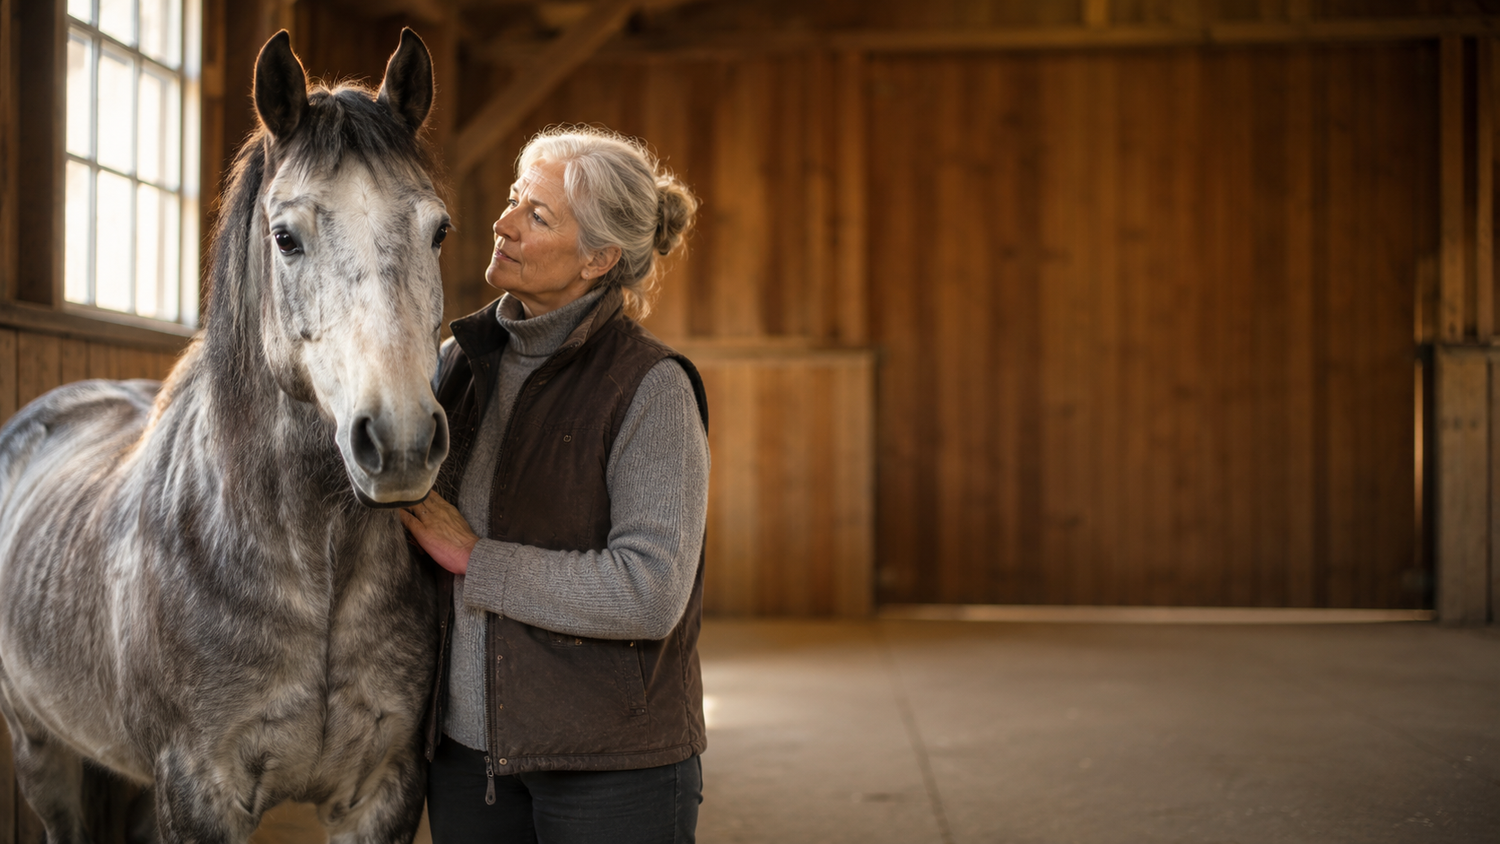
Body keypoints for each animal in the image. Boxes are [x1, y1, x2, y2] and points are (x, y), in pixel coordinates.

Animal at [0, 29, 449, 844]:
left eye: (439, 230)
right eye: (285, 237)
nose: (399, 441)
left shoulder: (386, 790)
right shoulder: (198, 791)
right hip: (41, 749)